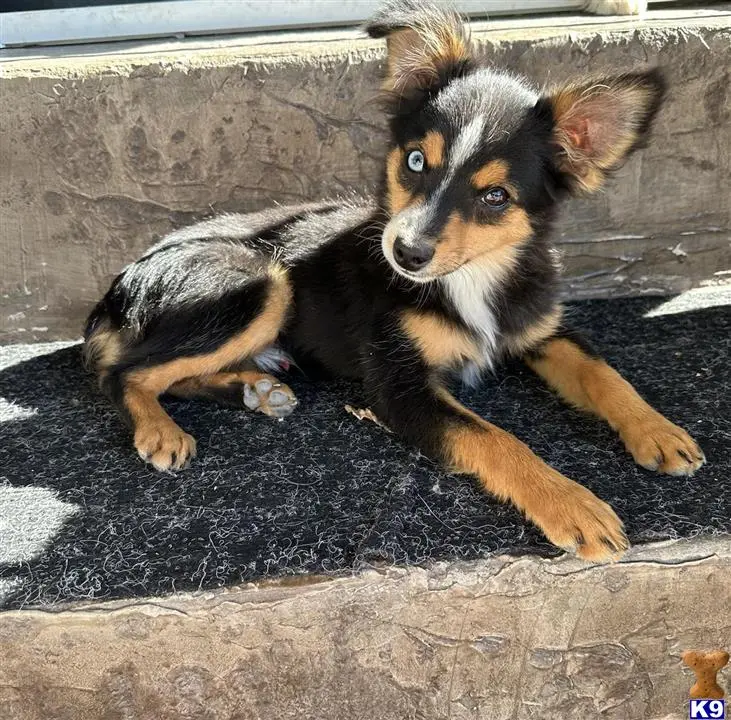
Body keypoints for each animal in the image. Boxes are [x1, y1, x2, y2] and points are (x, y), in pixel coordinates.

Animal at [83, 1, 708, 564]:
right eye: (414, 161)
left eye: (495, 196)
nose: (405, 252)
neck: (472, 279)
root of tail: (117, 288)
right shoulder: (399, 389)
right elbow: (497, 438)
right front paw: (573, 504)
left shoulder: (540, 330)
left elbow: (605, 374)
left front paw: (657, 430)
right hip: (264, 281)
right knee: (126, 372)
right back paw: (162, 431)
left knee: (169, 372)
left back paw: (254, 388)